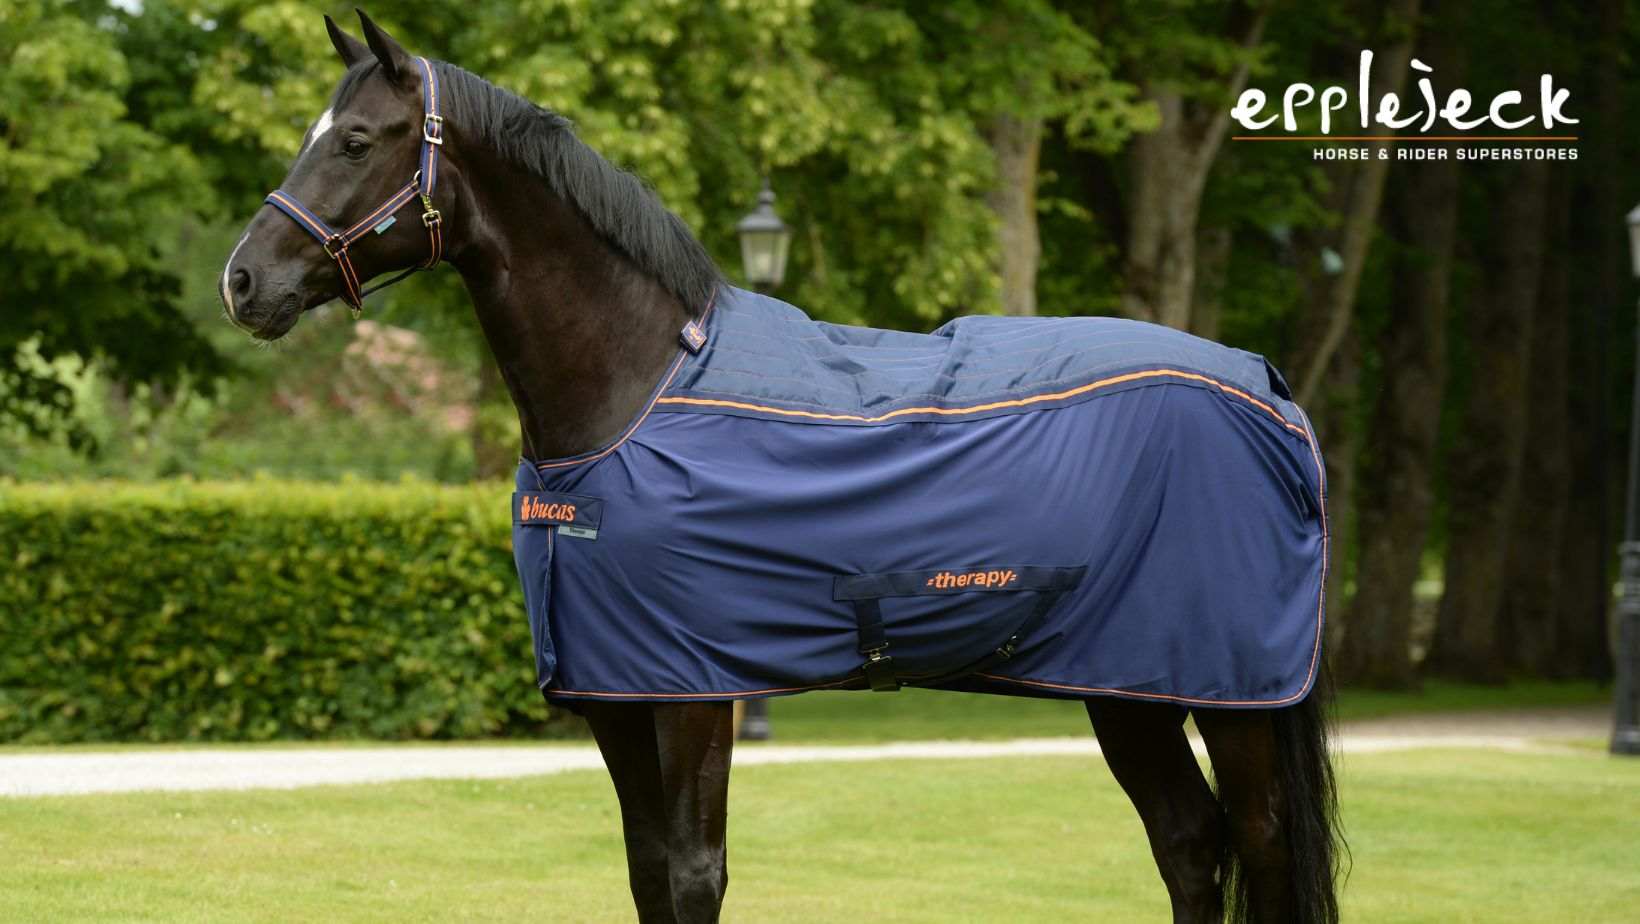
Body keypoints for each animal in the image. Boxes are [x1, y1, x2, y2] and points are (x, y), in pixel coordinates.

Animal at [220, 12, 1341, 923]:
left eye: (357, 141)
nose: (243, 281)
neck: (632, 389)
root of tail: (1268, 389)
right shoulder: (617, 695)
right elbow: (646, 875)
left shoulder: (690, 692)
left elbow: (691, 875)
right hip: (1127, 684)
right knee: (1187, 846)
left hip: (1229, 695)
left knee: (1256, 847)